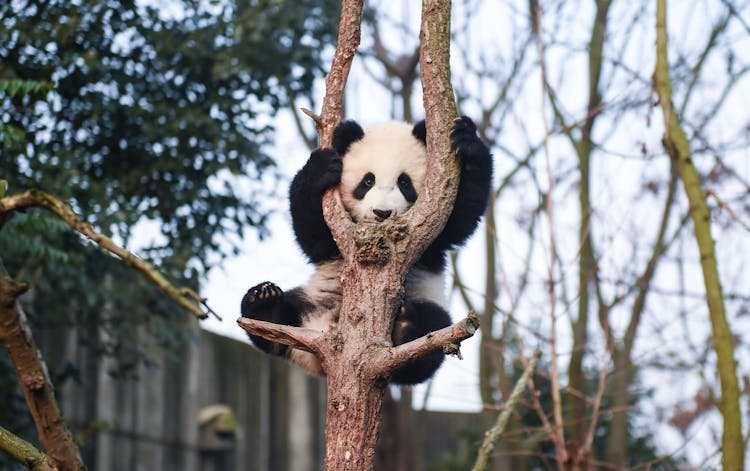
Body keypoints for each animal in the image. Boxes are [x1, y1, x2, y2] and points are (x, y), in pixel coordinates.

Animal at [241, 116, 496, 386]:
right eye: (368, 181)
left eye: (404, 182)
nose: (382, 213)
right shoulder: (335, 237)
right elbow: (312, 234)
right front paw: (321, 168)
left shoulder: (434, 234)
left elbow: (461, 217)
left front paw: (466, 139)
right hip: (312, 299)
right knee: (273, 320)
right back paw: (264, 302)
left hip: (428, 302)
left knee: (431, 334)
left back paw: (407, 327)